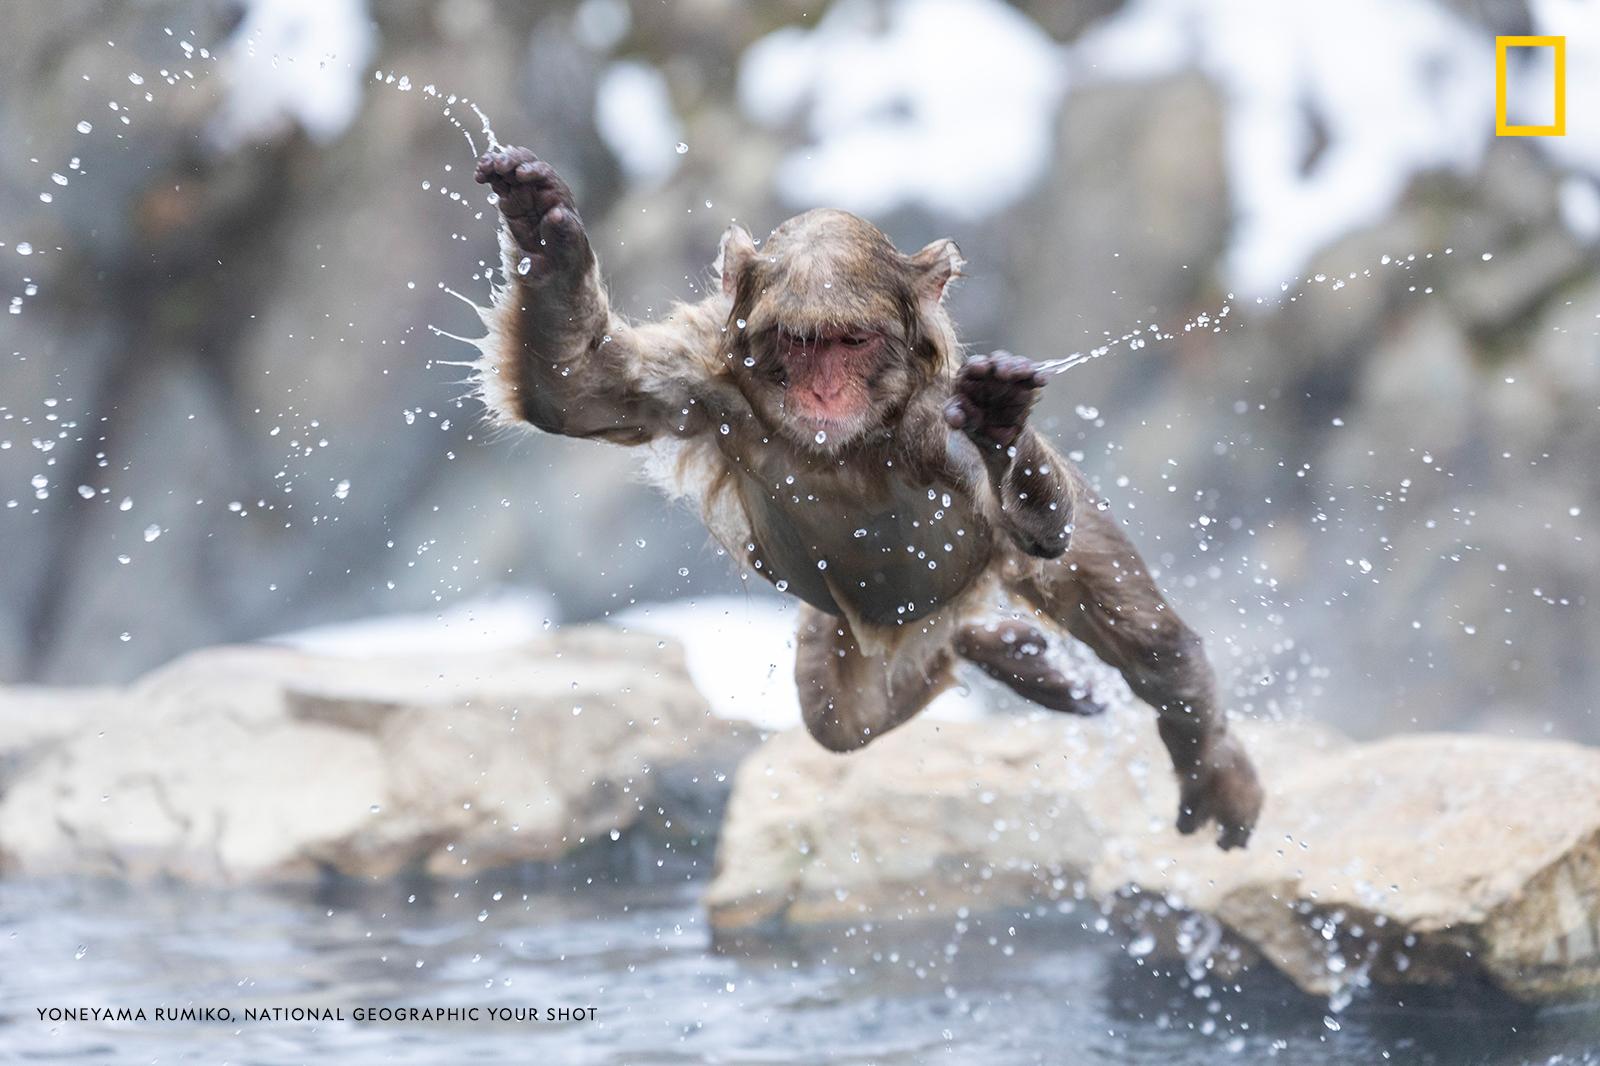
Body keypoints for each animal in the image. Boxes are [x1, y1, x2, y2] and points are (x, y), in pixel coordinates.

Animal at [473, 147, 1260, 845]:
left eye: (851, 341)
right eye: (801, 342)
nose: (825, 394)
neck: (846, 449)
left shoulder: (933, 427)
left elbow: (1039, 525)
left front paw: (1003, 426)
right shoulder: (706, 383)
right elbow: (575, 389)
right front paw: (544, 230)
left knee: (1144, 636)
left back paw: (1207, 756)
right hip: (857, 628)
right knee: (840, 718)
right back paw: (991, 651)